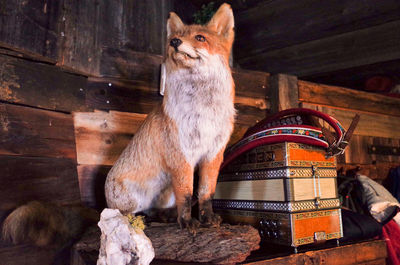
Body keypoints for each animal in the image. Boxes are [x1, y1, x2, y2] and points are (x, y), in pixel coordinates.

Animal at [106, 3, 236, 229]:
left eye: (200, 37)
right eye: (173, 38)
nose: (175, 42)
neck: (204, 112)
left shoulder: (213, 154)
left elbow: (205, 193)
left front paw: (207, 218)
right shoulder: (181, 154)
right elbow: (187, 194)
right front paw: (186, 221)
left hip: (166, 195)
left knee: (154, 210)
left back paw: (163, 217)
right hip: (129, 200)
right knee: (122, 214)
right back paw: (142, 219)